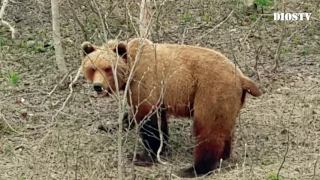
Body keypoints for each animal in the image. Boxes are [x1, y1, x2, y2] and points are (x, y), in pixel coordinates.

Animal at [80, 37, 262, 177]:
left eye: (108, 68)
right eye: (92, 68)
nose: (98, 86)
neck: (131, 69)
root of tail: (242, 77)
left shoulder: (146, 82)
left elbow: (148, 121)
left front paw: (143, 156)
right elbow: (153, 119)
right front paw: (109, 125)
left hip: (212, 91)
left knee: (208, 129)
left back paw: (193, 169)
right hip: (230, 101)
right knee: (224, 128)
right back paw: (224, 156)